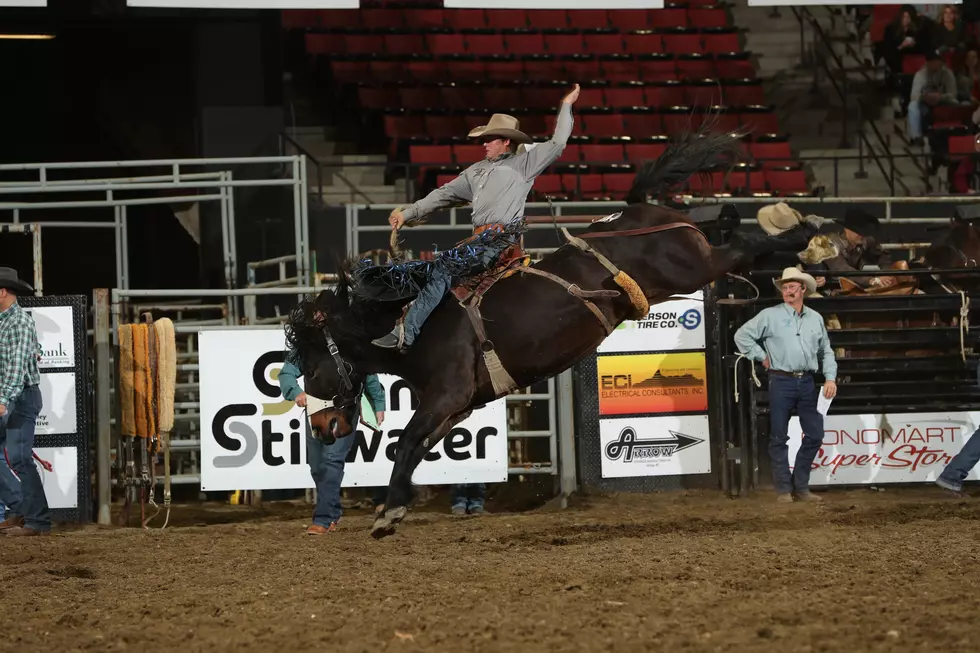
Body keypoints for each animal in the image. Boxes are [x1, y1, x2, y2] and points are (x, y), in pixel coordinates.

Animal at [288, 125, 816, 536]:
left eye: (312, 364)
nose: (321, 426)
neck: (410, 325)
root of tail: (634, 211)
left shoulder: (445, 396)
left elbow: (404, 444)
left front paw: (386, 513)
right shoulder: (456, 406)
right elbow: (415, 449)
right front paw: (394, 507)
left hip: (692, 266)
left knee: (745, 244)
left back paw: (809, 232)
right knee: (737, 238)